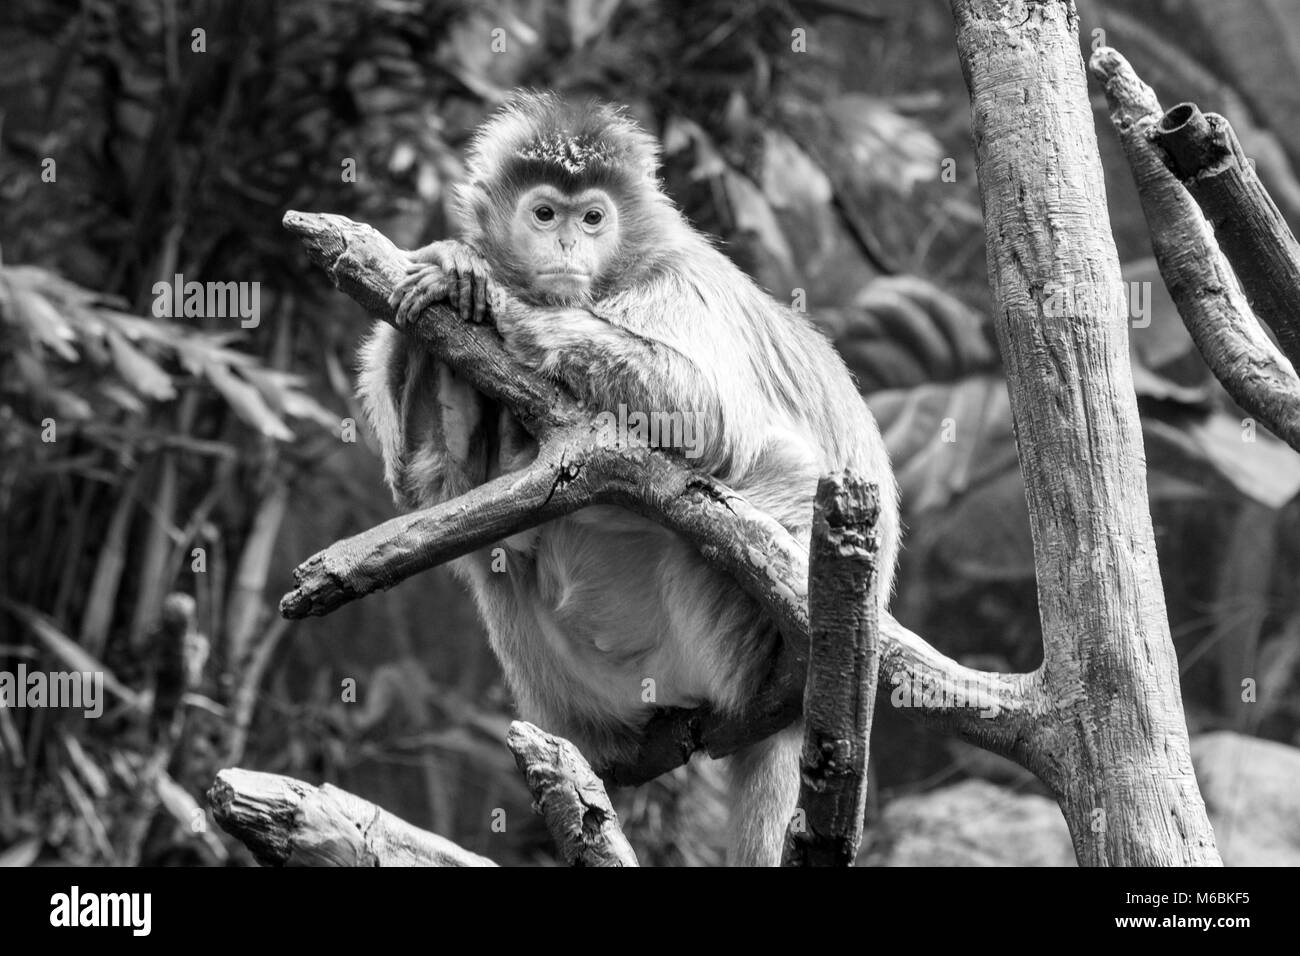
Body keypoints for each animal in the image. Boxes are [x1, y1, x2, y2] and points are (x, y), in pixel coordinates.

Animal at [357, 92, 899, 866]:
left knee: (764, 473)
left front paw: (496, 299)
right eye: (545, 213)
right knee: (499, 552)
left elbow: (708, 418)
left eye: (593, 219)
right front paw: (453, 270)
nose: (566, 248)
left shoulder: (678, 282)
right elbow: (422, 490)